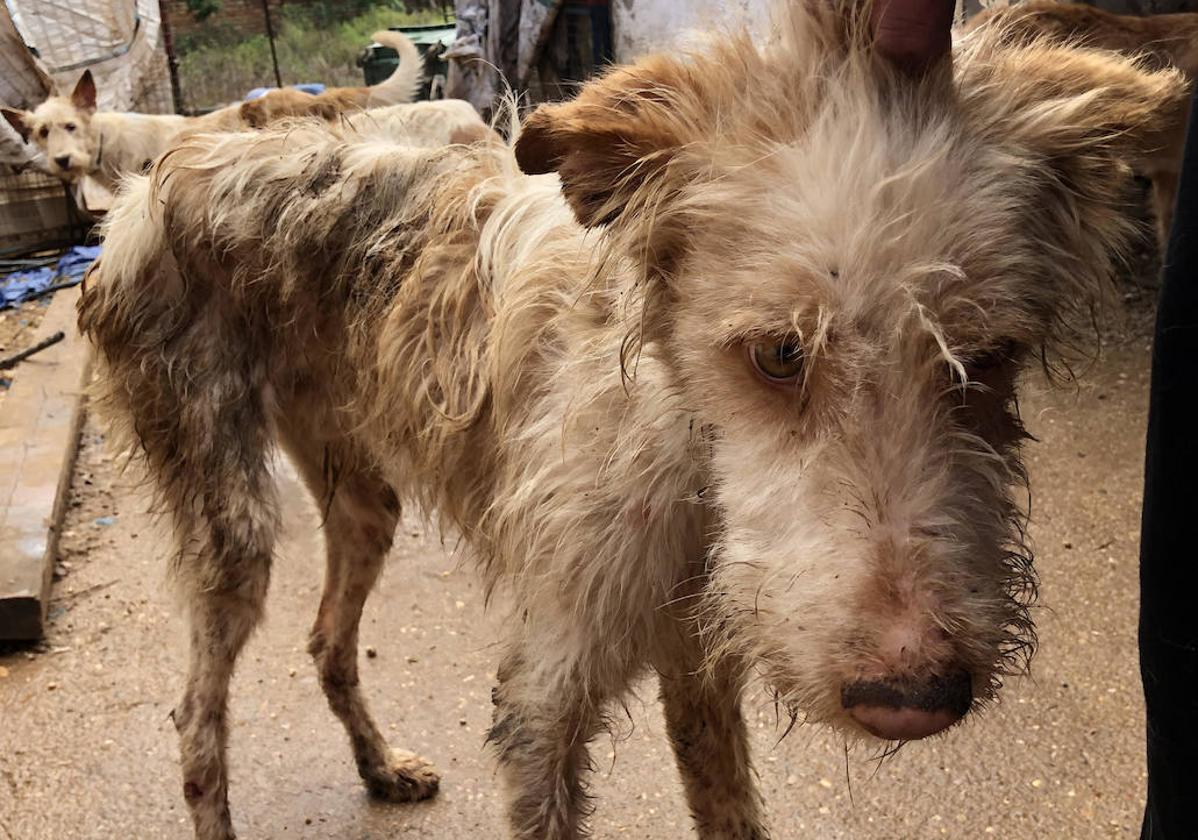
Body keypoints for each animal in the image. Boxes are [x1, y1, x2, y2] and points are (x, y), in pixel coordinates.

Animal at [79, 1, 1183, 838]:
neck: (695, 465)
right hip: (230, 528)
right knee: (195, 720)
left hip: (362, 499)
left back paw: (381, 767)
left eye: (986, 357)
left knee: (323, 640)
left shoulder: (698, 675)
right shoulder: (540, 704)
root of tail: (167, 162)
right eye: (778, 353)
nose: (914, 699)